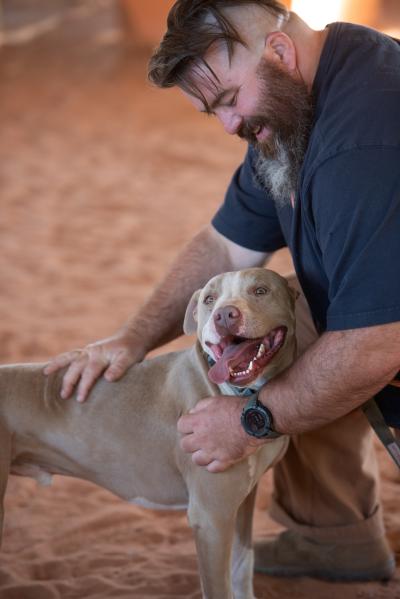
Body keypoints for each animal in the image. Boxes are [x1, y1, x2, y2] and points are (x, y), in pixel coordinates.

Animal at [0, 268, 296, 599]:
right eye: (209, 299)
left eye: (260, 291)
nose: (224, 315)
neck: (239, 396)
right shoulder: (211, 518)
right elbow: (219, 587)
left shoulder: (243, 500)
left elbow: (243, 564)